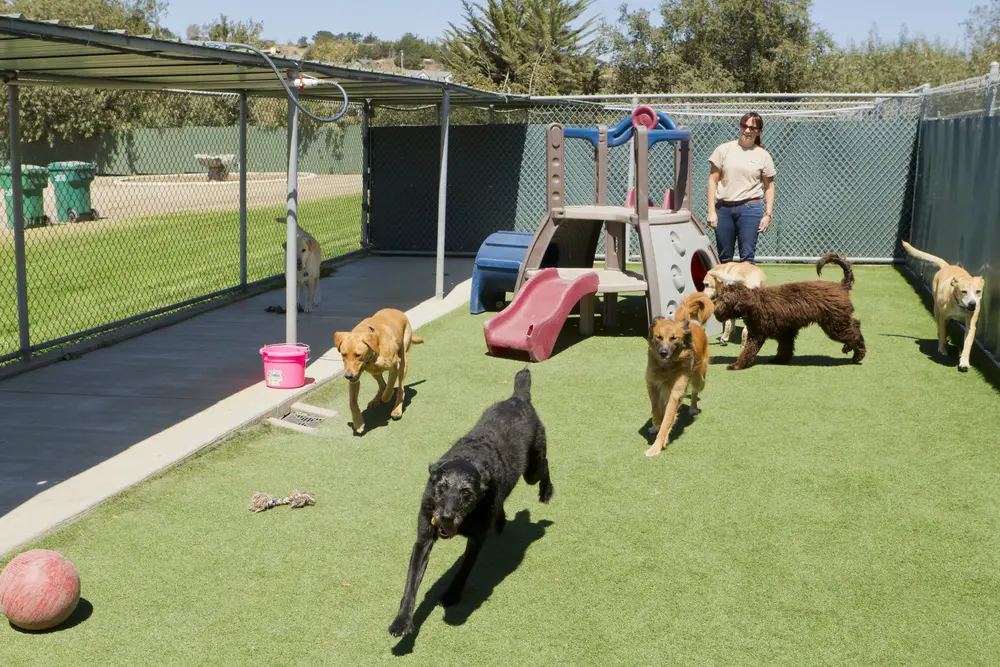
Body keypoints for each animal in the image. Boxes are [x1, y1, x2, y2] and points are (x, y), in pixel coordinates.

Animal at [386, 368, 556, 640]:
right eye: (441, 487)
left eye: (466, 493)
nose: (445, 517)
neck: (470, 457)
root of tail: (518, 398)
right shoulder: (423, 538)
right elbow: (411, 583)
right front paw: (402, 622)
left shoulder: (476, 540)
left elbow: (463, 570)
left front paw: (451, 595)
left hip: (532, 469)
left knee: (545, 465)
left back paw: (546, 492)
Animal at [644, 294, 708, 460]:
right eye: (659, 337)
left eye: (674, 338)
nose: (663, 353)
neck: (666, 367)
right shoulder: (652, 384)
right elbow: (656, 409)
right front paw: (656, 423)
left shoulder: (675, 393)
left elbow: (667, 420)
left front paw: (656, 447)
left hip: (699, 379)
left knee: (695, 391)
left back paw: (693, 408)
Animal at [712, 253, 868, 374]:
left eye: (723, 300)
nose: (715, 311)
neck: (752, 301)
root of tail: (842, 286)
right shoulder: (785, 332)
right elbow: (784, 348)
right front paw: (779, 359)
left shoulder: (757, 334)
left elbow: (748, 351)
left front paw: (736, 365)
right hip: (837, 321)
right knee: (855, 327)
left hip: (835, 323)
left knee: (854, 331)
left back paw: (854, 353)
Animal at [904, 241, 988, 376]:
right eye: (963, 291)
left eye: (978, 291)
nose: (972, 304)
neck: (959, 305)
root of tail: (947, 266)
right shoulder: (943, 317)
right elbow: (943, 332)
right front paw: (942, 349)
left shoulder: (971, 325)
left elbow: (968, 344)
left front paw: (964, 362)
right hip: (936, 310)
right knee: (940, 327)